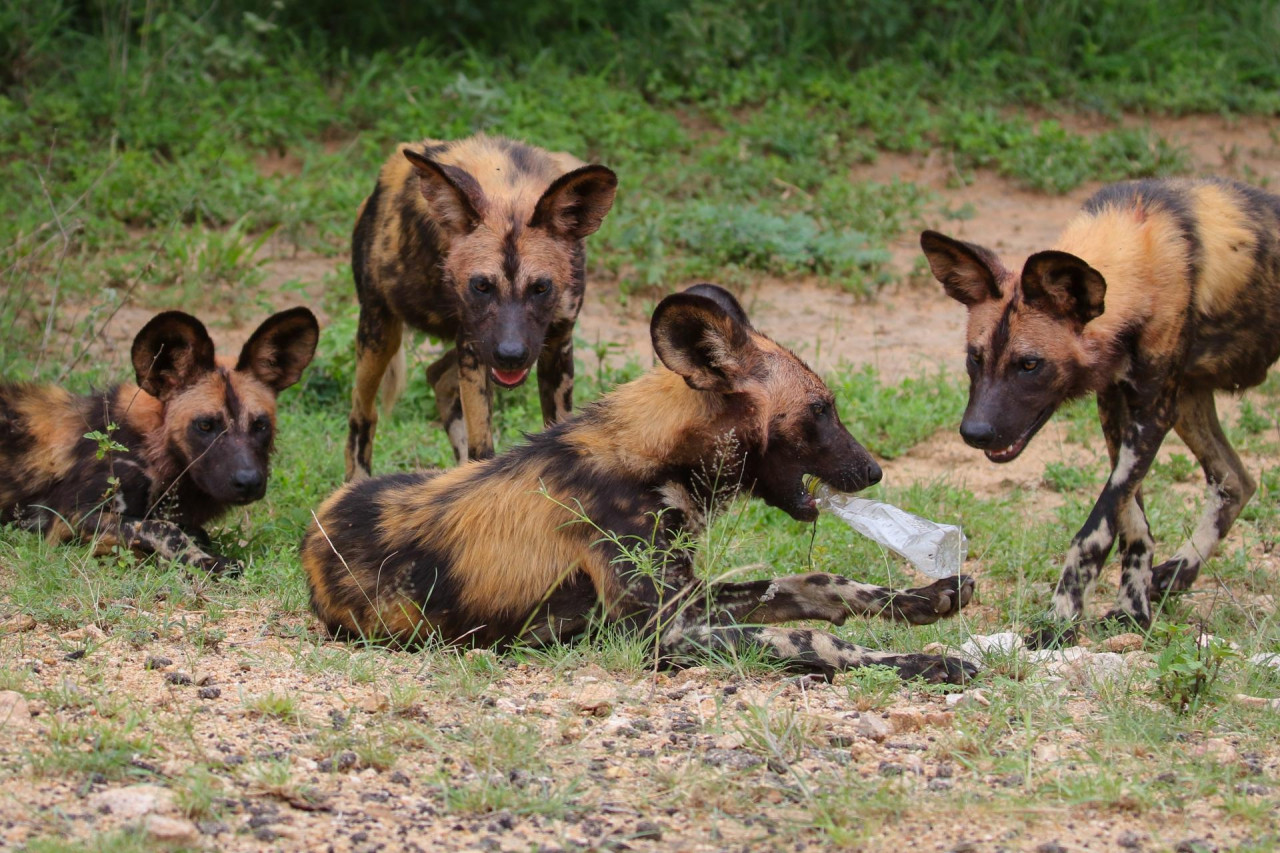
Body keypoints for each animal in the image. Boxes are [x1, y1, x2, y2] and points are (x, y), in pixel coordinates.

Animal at [0, 306, 318, 571]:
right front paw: (207, 562)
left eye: (260, 425)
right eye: (205, 425)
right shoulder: (69, 519)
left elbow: (185, 530)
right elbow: (163, 529)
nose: (249, 481)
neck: (151, 447)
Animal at [302, 281, 977, 681]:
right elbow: (811, 638)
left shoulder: (690, 596)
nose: (874, 470)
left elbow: (811, 582)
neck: (653, 462)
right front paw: (916, 663)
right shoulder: (663, 632)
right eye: (821, 410)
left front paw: (924, 598)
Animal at [345, 136, 614, 473]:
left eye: (540, 288)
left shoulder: (555, 347)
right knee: (362, 414)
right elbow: (483, 450)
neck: (510, 190)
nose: (511, 356)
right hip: (381, 335)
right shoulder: (474, 351)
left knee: (437, 376)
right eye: (482, 286)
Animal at [921, 179, 1280, 640]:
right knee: (1235, 480)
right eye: (974, 358)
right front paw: (1133, 610)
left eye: (1030, 364)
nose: (975, 433)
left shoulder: (1152, 413)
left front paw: (1062, 617)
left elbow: (1096, 529)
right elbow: (1133, 525)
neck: (1143, 254)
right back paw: (1176, 574)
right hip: (1190, 401)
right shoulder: (1116, 403)